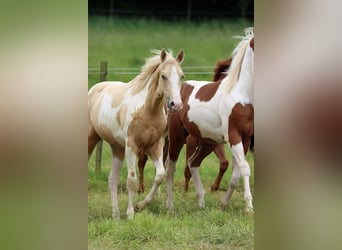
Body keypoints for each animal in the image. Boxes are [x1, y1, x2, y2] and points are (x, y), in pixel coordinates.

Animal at [87, 49, 184, 219]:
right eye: (163, 76)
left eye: (181, 76)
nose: (176, 105)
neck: (147, 110)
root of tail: (92, 90)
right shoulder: (131, 146)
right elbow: (132, 179)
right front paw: (131, 214)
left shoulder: (155, 146)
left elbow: (160, 175)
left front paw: (140, 205)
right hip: (91, 138)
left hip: (117, 148)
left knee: (112, 179)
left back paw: (116, 215)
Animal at [166, 28, 254, 212]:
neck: (242, 96)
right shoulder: (234, 137)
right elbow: (245, 168)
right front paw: (249, 207)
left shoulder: (246, 140)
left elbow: (235, 175)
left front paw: (223, 203)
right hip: (177, 137)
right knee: (170, 169)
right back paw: (169, 205)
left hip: (208, 142)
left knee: (193, 164)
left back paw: (201, 201)